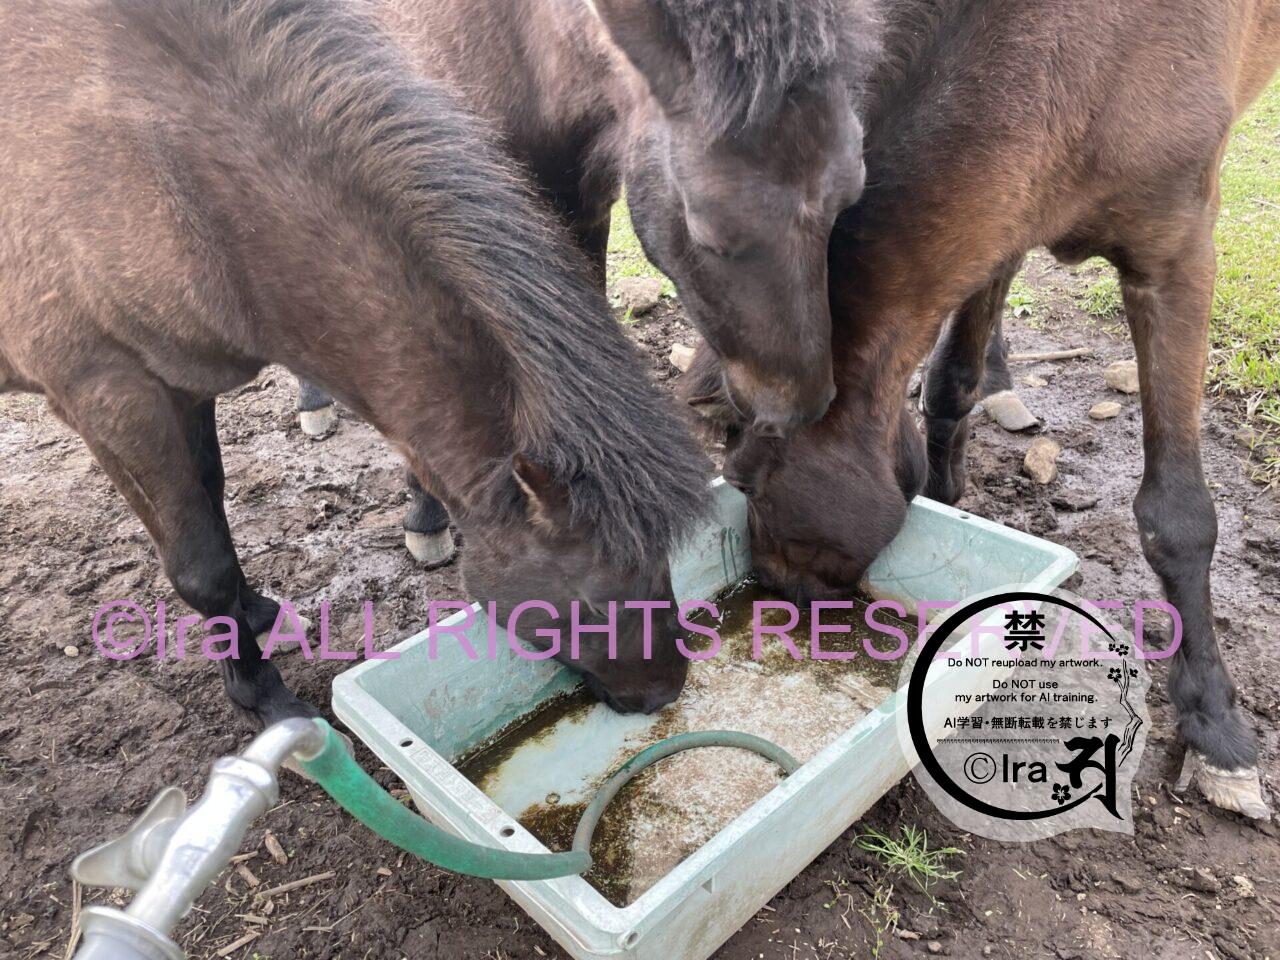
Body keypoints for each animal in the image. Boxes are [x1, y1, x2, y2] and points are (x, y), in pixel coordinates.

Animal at [0, 0, 712, 725]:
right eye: (593, 600)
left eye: (665, 562)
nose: (662, 693)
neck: (160, 180)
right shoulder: (114, 401)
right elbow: (203, 568)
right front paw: (266, 699)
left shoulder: (184, 386)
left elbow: (215, 503)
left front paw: (258, 612)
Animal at [293, 0, 875, 566]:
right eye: (709, 228)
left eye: (849, 194)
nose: (800, 412)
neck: (520, 49)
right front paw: (425, 512)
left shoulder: (580, 214)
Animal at [689, 0, 1280, 818]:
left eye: (746, 482)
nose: (776, 591)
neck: (1084, 57)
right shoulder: (1004, 208)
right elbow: (948, 382)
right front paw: (948, 491)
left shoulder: (1177, 259)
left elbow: (1179, 515)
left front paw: (1215, 722)